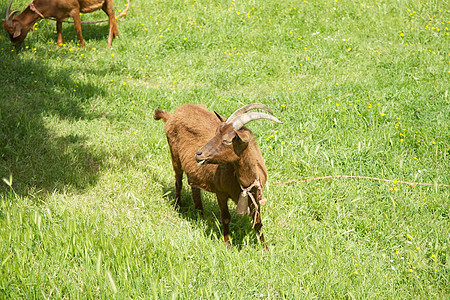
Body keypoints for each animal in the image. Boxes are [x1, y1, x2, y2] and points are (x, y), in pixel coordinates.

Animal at [155, 103, 282, 246]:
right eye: (215, 133)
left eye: (227, 141)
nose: (199, 154)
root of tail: (172, 115)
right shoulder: (220, 193)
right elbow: (226, 217)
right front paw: (227, 244)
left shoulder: (256, 195)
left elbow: (258, 223)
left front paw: (264, 247)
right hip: (175, 157)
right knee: (178, 183)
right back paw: (179, 208)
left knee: (193, 185)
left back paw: (200, 214)